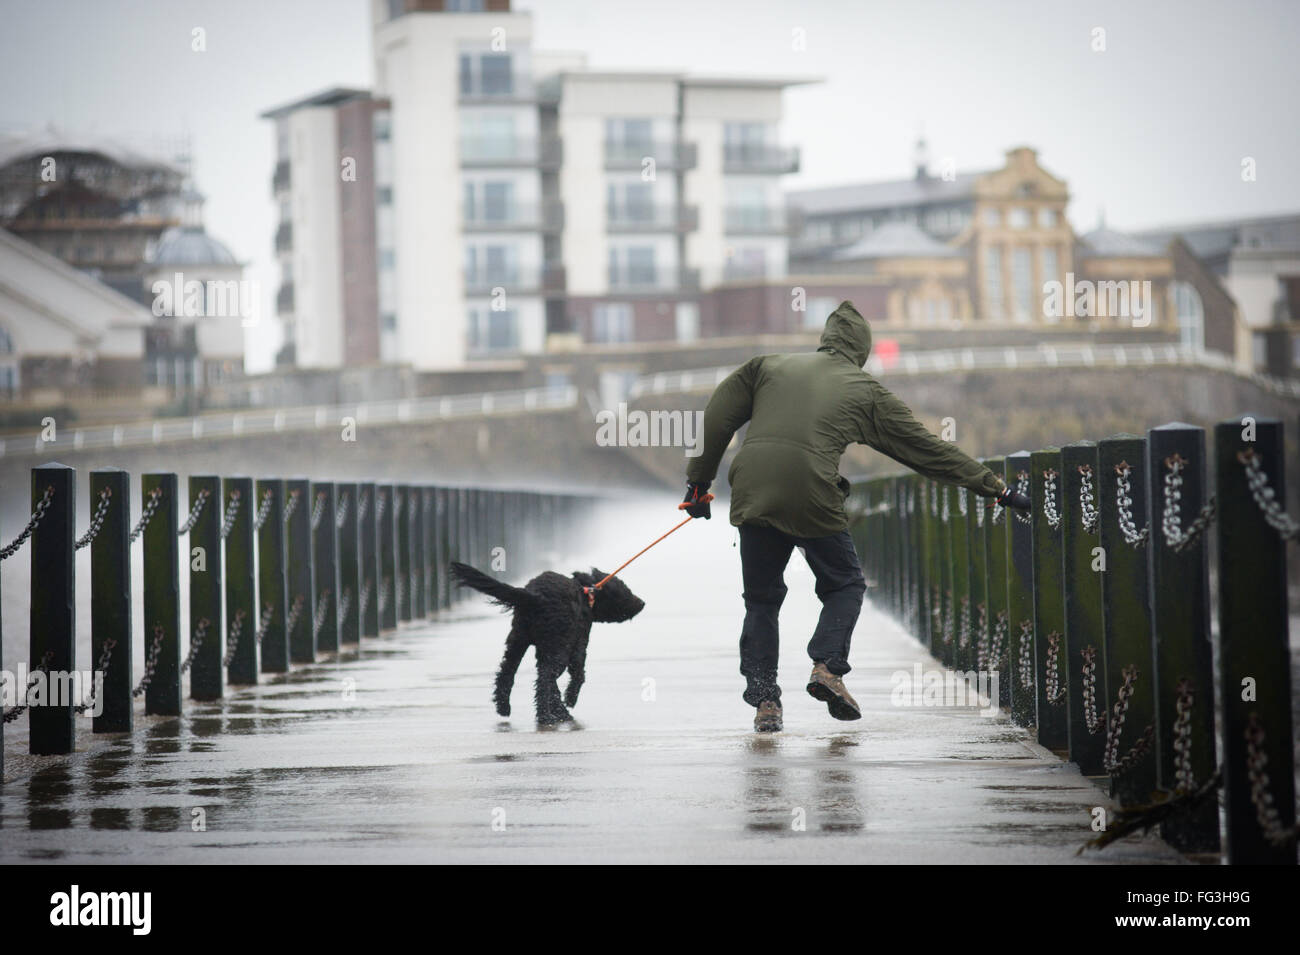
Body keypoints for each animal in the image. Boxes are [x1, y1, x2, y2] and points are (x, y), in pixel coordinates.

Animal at [449, 561, 647, 722]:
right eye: (624, 589)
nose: (642, 603)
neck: (585, 595)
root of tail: (534, 596)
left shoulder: (545, 650)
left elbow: (552, 684)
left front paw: (560, 709)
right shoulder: (578, 643)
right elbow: (577, 674)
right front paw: (569, 701)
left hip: (518, 640)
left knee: (507, 673)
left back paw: (504, 707)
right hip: (558, 648)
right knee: (544, 679)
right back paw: (545, 716)